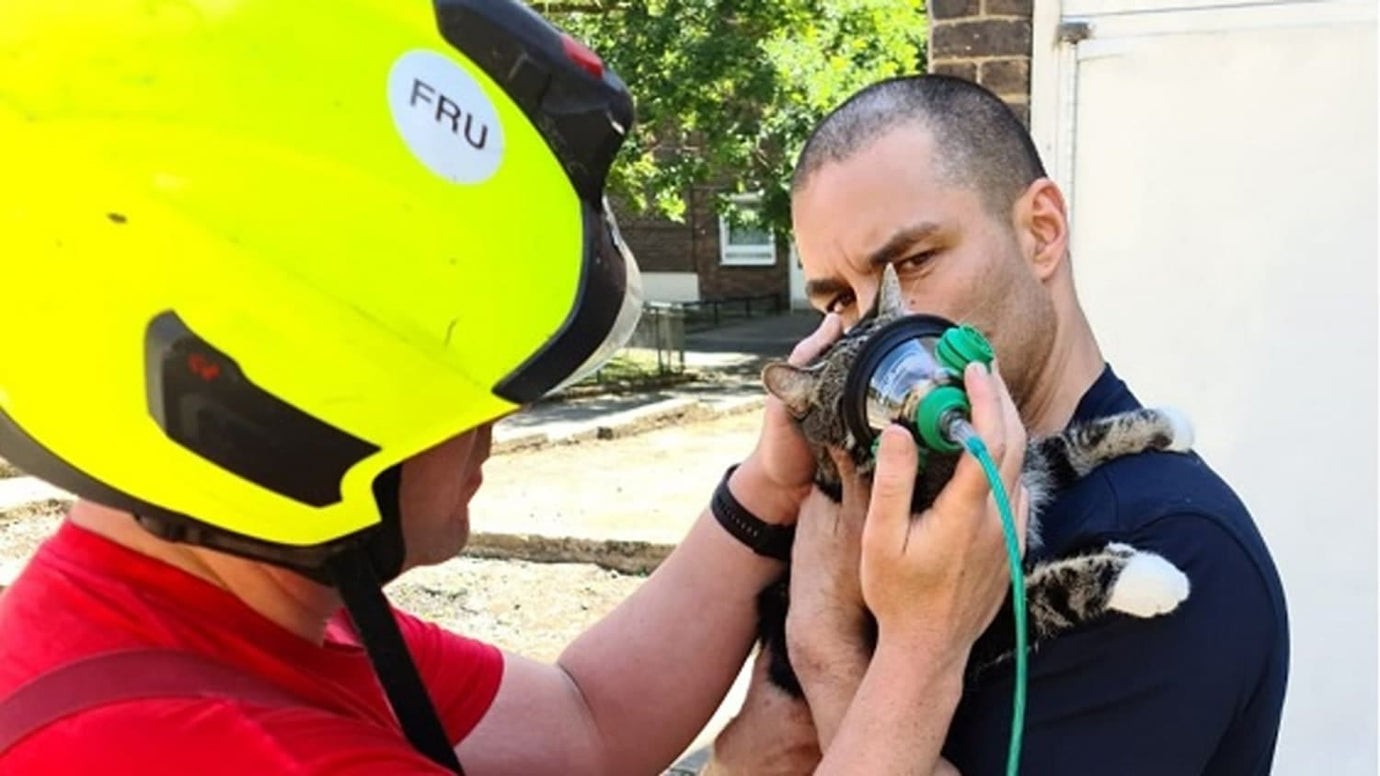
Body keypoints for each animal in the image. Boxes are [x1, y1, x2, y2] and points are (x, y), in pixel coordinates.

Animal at [750, 265, 1192, 695]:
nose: (923, 395)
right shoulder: (984, 628)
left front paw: (1168, 425)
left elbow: (1076, 443)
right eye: (858, 399)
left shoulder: (1032, 464)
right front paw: (1147, 579)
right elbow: (1051, 591)